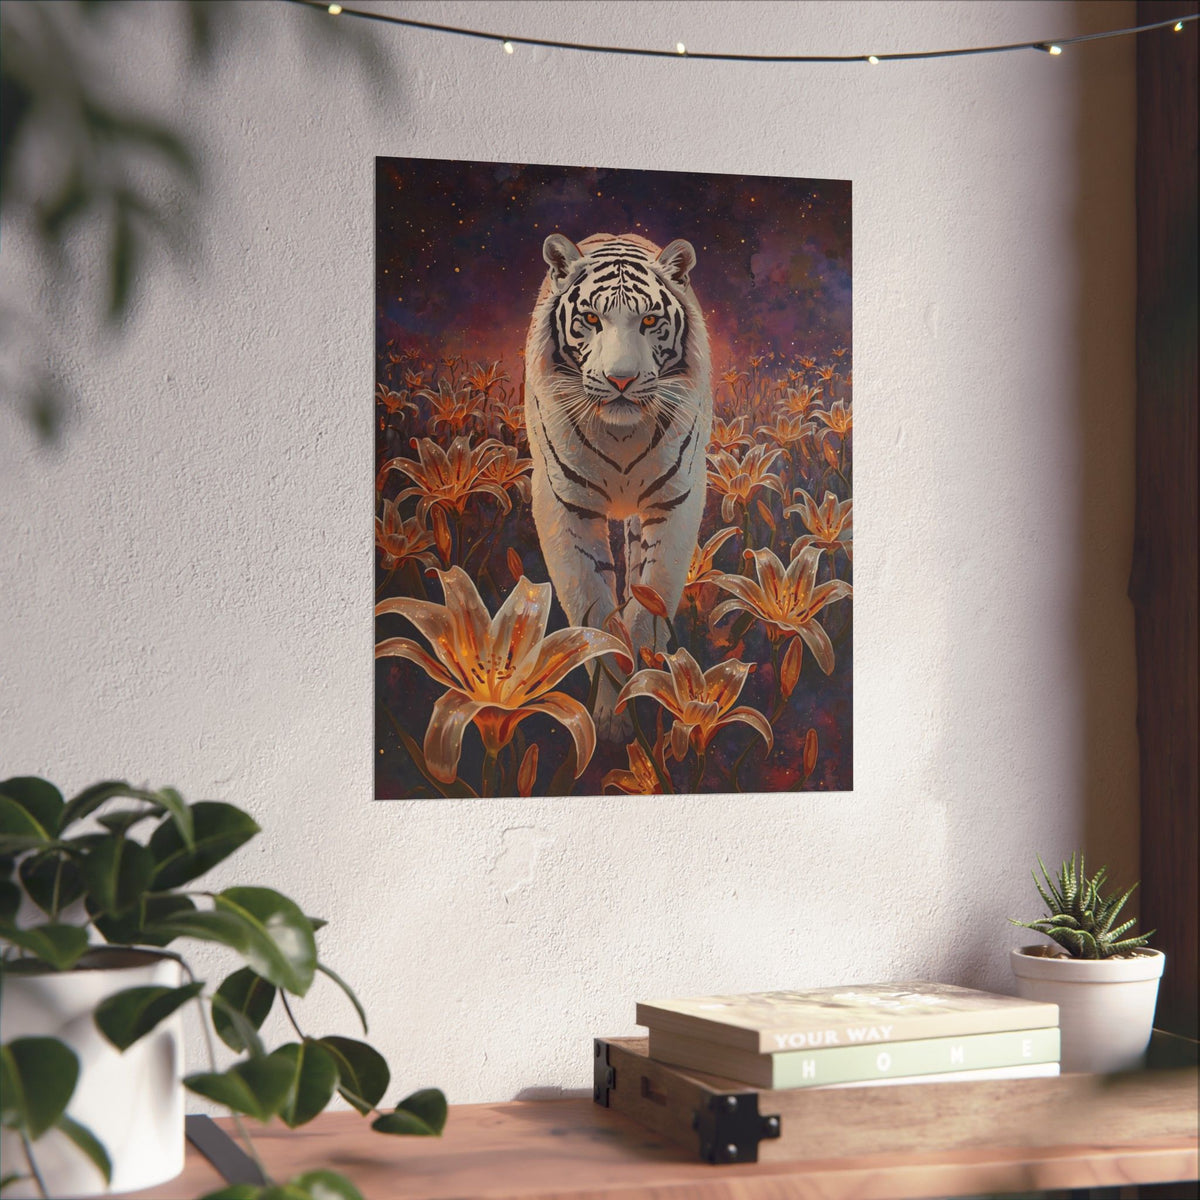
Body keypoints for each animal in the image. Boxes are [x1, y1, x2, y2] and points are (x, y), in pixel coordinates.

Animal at [524, 232, 713, 738]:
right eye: (591, 319)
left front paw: (648, 677)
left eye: (649, 320)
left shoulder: (677, 499)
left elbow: (653, 595)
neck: (622, 435)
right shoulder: (563, 506)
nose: (621, 379)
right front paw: (611, 717)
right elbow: (594, 611)